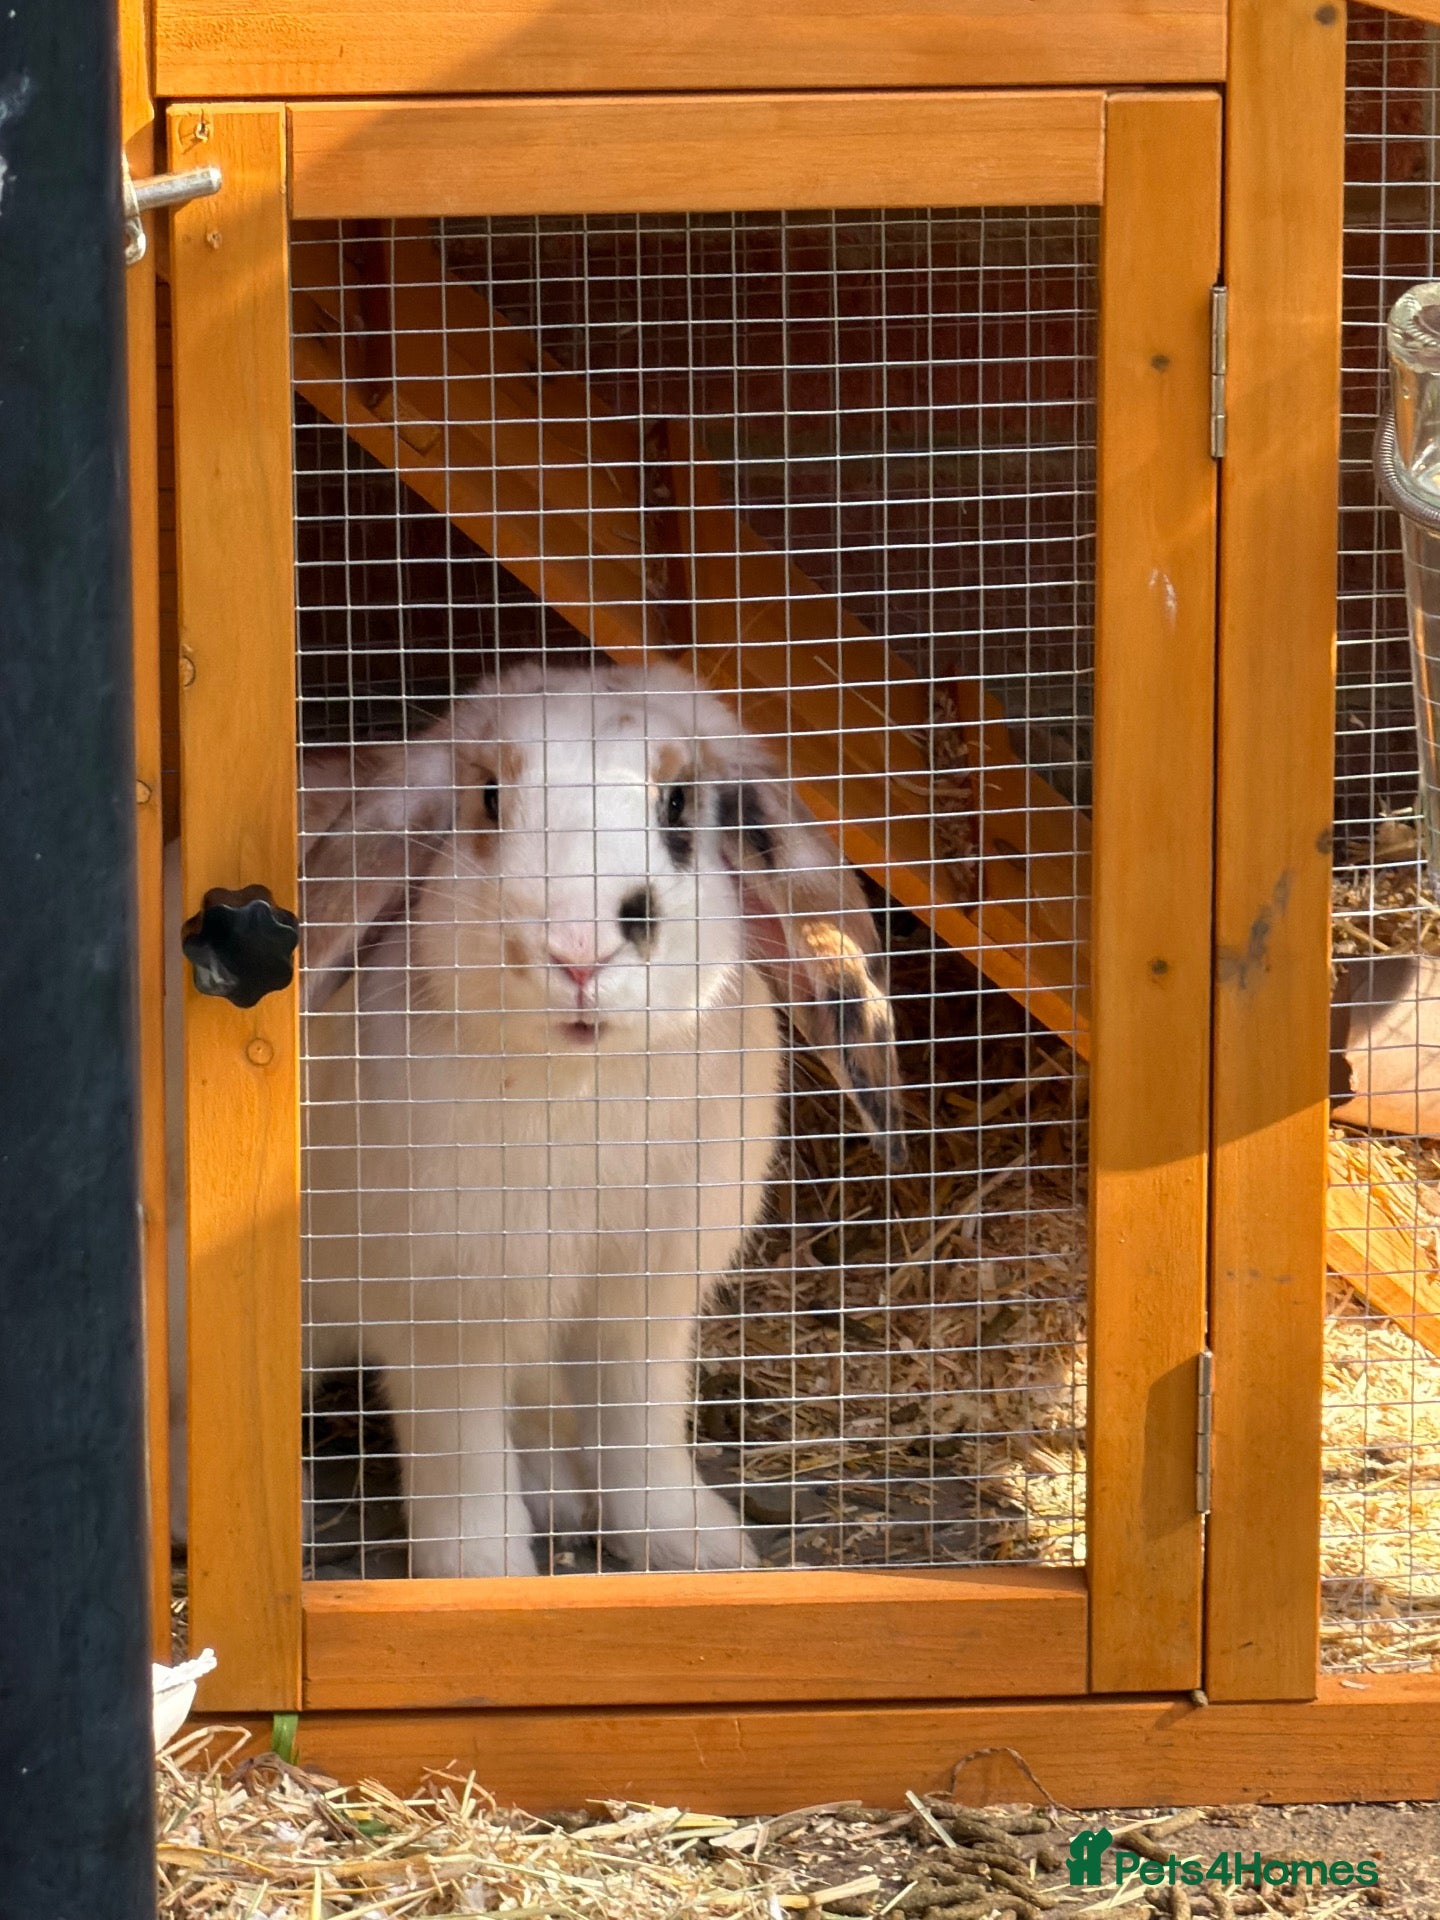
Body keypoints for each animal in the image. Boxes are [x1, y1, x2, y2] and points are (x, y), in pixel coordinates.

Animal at [171, 658, 903, 1579]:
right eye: (488, 797)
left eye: (678, 804)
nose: (579, 950)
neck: (584, 1084)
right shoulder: (451, 1314)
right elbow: (465, 1464)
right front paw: (484, 1578)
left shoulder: (639, 1303)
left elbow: (641, 1438)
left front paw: (700, 1550)